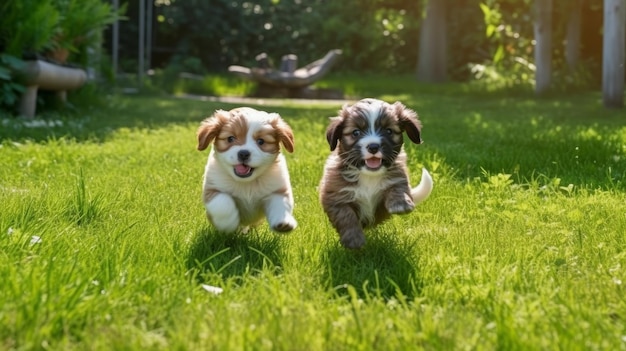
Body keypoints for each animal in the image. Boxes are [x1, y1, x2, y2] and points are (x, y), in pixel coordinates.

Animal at [320, 97, 432, 249]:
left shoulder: (397, 177)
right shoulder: (335, 196)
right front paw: (353, 239)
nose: (373, 146)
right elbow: (346, 216)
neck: (368, 175)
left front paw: (400, 203)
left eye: (389, 131)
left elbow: (396, 188)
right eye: (356, 132)